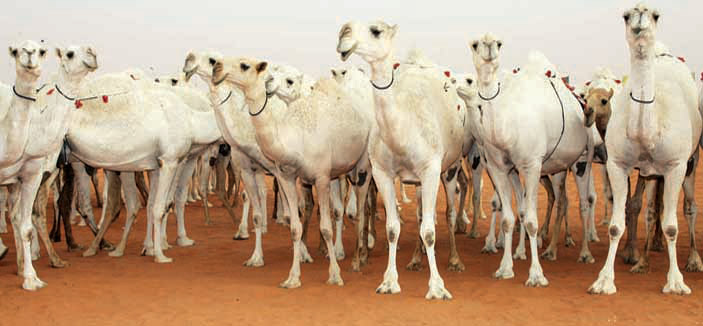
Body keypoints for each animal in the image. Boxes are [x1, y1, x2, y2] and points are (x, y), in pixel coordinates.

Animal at [338, 21, 470, 300]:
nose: (343, 33)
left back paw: (455, 260)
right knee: (420, 215)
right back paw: (416, 260)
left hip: (450, 166)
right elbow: (392, 228)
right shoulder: (381, 172)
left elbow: (430, 231)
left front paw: (437, 287)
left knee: (449, 212)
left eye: (376, 30)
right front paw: (389, 281)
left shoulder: (430, 170)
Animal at [470, 33, 596, 286]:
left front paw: (536, 275)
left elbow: (530, 220)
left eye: (499, 43)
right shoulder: (500, 168)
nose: (488, 46)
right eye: (475, 44)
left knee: (584, 203)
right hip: (558, 167)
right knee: (562, 199)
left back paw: (585, 254)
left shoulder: (532, 165)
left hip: (582, 160)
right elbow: (509, 218)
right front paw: (505, 268)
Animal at [592, 3, 700, 296]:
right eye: (626, 15)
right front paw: (604, 281)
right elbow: (615, 226)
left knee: (689, 207)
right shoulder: (617, 163)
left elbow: (672, 226)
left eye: (655, 14)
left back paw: (693, 259)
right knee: (653, 208)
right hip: (651, 173)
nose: (640, 13)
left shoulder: (675, 165)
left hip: (691, 162)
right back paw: (644, 260)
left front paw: (676, 282)